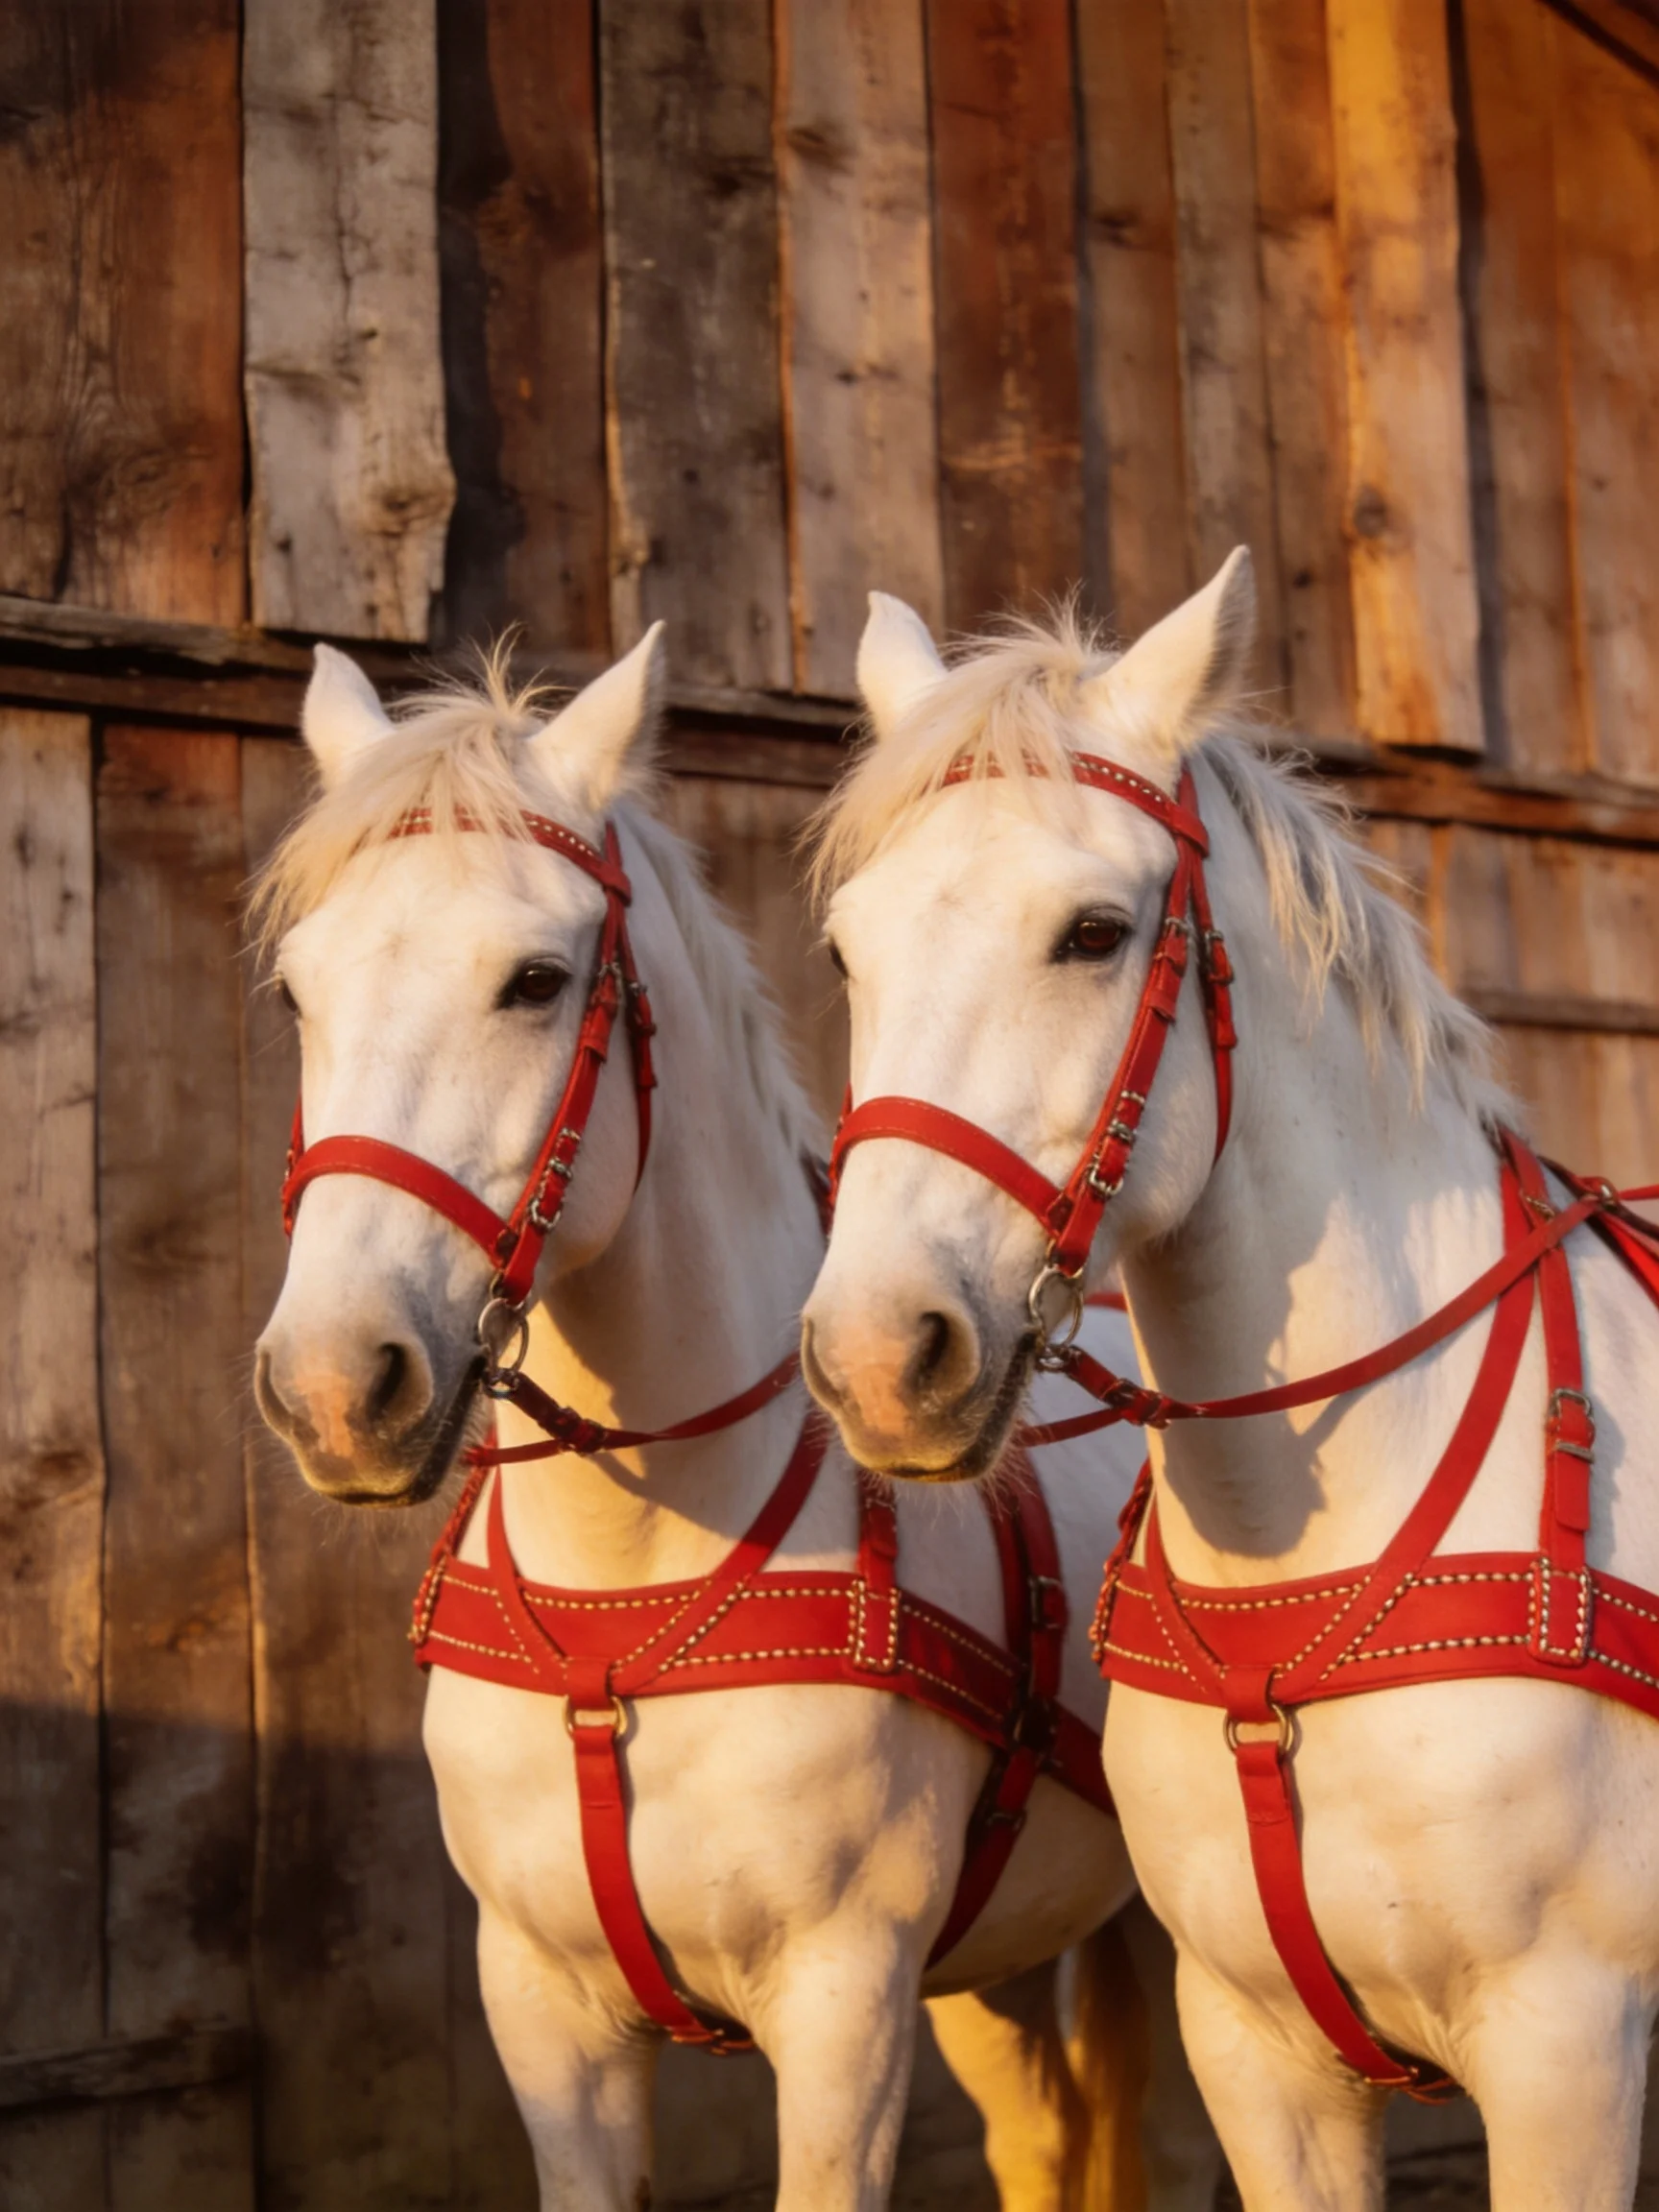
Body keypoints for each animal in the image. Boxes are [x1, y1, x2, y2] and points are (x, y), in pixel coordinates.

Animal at [248, 631, 1220, 2211]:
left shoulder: (845, 2004)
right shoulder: (545, 2010)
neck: (631, 1584)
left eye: (536, 979)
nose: (338, 1387)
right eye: (295, 993)